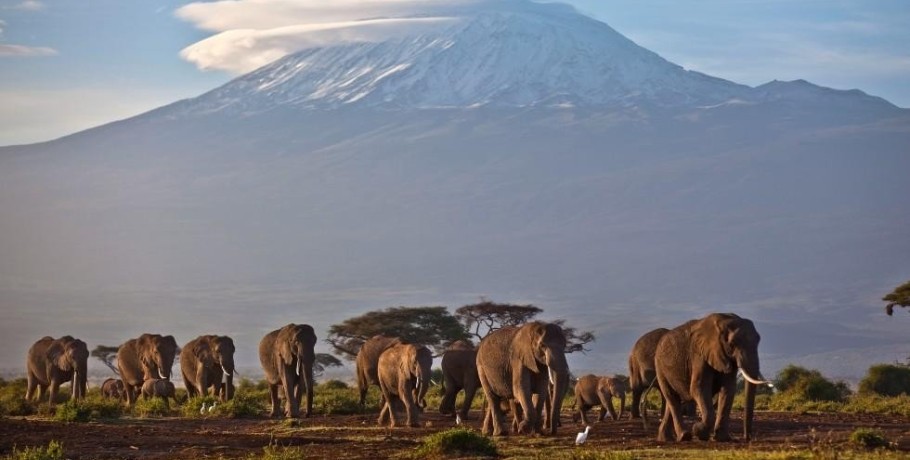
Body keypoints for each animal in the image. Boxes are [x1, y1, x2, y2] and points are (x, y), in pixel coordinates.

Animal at [652, 312, 772, 442]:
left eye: (758, 341)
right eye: (732, 344)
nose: (747, 438)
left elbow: (728, 390)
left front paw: (722, 438)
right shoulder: (699, 355)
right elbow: (698, 388)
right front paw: (698, 431)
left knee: (673, 400)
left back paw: (665, 438)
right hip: (660, 367)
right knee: (671, 397)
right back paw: (684, 436)